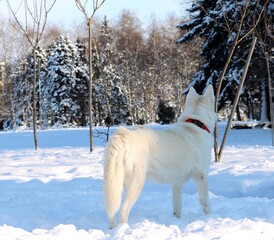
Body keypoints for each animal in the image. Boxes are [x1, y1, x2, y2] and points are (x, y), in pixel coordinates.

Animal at [103, 85, 216, 229]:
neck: (196, 124)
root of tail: (123, 135)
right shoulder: (201, 176)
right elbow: (205, 201)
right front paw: (211, 217)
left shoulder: (177, 183)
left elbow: (177, 207)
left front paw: (177, 221)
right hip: (137, 183)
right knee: (123, 210)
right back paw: (124, 229)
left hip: (115, 183)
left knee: (112, 211)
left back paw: (113, 229)